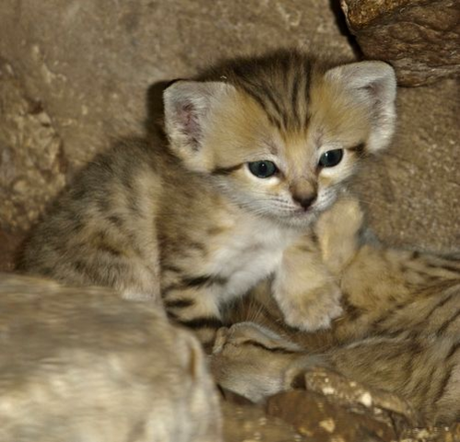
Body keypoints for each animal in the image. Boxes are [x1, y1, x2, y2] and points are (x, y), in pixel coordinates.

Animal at [20, 51, 396, 342]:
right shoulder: (186, 277)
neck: (252, 220)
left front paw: (309, 296)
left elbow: (300, 240)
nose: (306, 198)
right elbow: (204, 335)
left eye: (330, 158)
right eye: (262, 167)